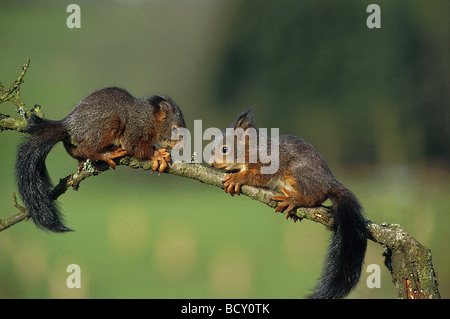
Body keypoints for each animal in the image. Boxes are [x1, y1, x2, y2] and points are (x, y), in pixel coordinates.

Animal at [15, 86, 185, 234]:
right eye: (175, 129)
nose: (182, 147)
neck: (149, 117)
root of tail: (69, 125)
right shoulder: (136, 128)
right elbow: (134, 146)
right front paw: (157, 155)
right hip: (107, 123)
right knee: (86, 148)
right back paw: (106, 155)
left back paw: (83, 161)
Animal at [209, 110, 368, 300]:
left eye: (224, 149)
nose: (211, 163)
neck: (251, 149)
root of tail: (328, 182)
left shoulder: (266, 163)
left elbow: (257, 176)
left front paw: (236, 178)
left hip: (296, 174)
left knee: (313, 197)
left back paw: (294, 200)